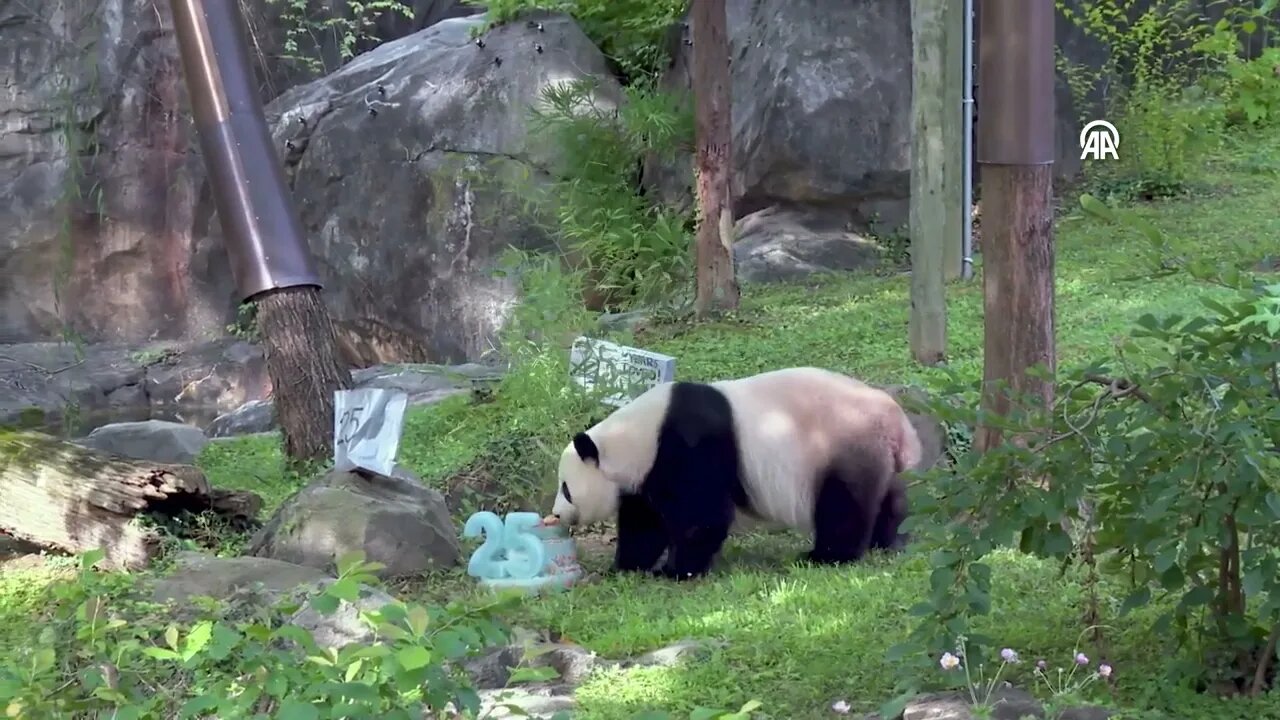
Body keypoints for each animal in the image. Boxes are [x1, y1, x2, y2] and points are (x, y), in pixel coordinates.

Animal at [547, 363, 921, 576]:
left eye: (566, 488)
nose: (556, 515)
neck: (633, 436)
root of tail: (897, 421)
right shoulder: (647, 472)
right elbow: (645, 522)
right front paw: (626, 565)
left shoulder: (686, 445)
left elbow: (701, 515)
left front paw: (676, 571)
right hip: (873, 455)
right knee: (887, 498)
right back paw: (884, 541)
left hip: (840, 444)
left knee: (843, 505)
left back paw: (826, 557)